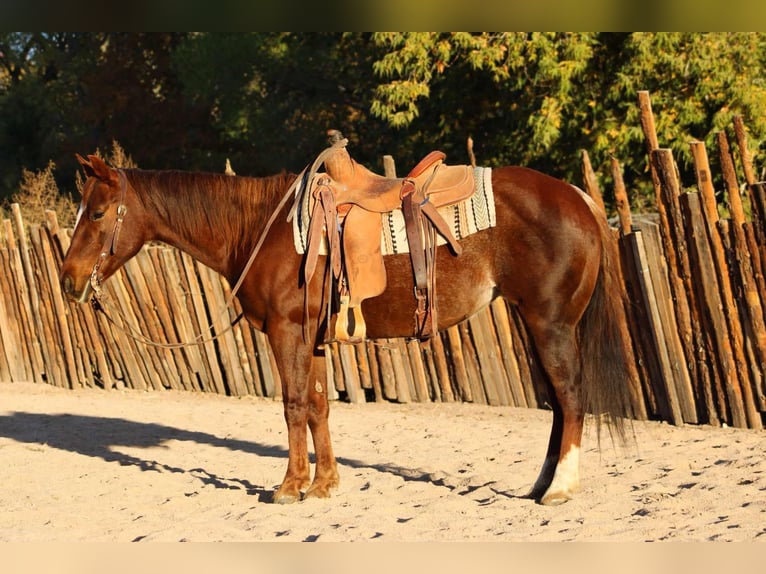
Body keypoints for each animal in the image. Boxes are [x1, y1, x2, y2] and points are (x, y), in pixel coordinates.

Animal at [59, 152, 633, 506]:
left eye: (98, 213)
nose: (68, 281)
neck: (263, 227)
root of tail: (579, 198)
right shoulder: (312, 338)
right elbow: (319, 406)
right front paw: (325, 484)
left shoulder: (286, 332)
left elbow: (293, 405)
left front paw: (289, 487)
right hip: (533, 323)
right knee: (557, 404)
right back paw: (539, 485)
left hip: (550, 324)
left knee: (571, 397)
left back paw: (560, 488)